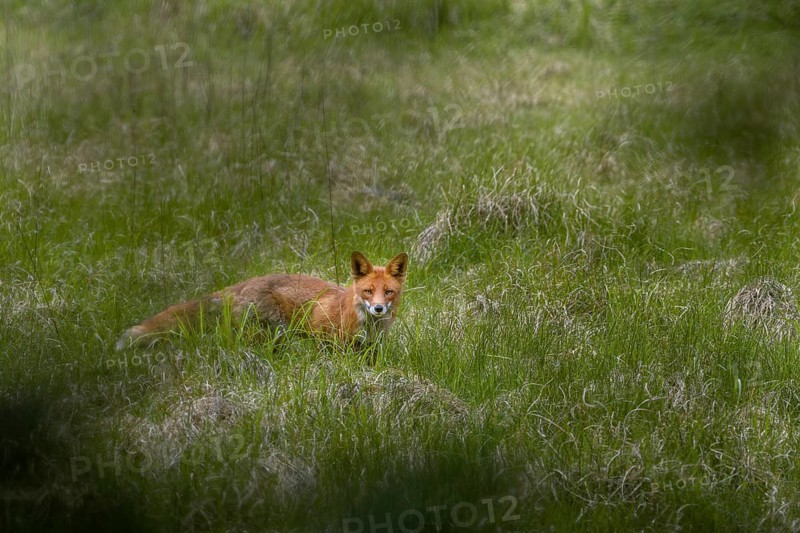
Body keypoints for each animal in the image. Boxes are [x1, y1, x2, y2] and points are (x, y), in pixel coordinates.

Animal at [115, 251, 408, 351]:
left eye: (389, 292)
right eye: (368, 291)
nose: (379, 308)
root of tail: (242, 284)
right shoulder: (328, 340)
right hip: (270, 331)